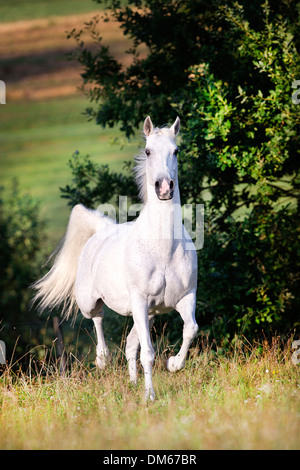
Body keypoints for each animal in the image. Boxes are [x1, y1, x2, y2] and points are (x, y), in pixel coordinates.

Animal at [32, 115, 198, 398]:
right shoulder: (140, 303)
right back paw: (102, 359)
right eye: (148, 151)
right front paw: (150, 396)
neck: (163, 250)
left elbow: (190, 329)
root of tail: (102, 230)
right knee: (97, 318)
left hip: (149, 314)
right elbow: (148, 353)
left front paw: (174, 364)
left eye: (176, 151)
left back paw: (132, 382)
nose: (164, 188)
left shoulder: (185, 298)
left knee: (130, 345)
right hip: (91, 301)